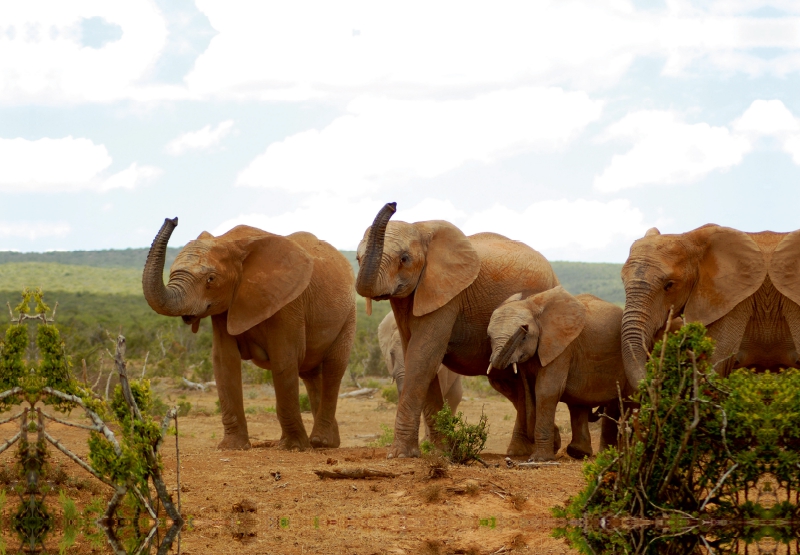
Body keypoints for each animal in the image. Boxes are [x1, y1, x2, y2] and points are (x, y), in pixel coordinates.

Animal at [142, 217, 354, 452]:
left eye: (211, 279)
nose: (173, 219)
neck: (230, 241)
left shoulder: (288, 302)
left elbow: (284, 360)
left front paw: (293, 447)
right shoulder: (224, 308)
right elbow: (224, 361)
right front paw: (232, 447)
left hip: (348, 315)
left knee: (334, 368)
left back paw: (321, 442)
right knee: (311, 374)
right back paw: (326, 442)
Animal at [488, 286, 632, 460]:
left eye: (524, 336)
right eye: (489, 337)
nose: (523, 328)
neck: (533, 305)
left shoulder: (562, 348)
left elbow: (546, 391)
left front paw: (539, 459)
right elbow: (530, 391)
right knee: (578, 403)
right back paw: (579, 453)